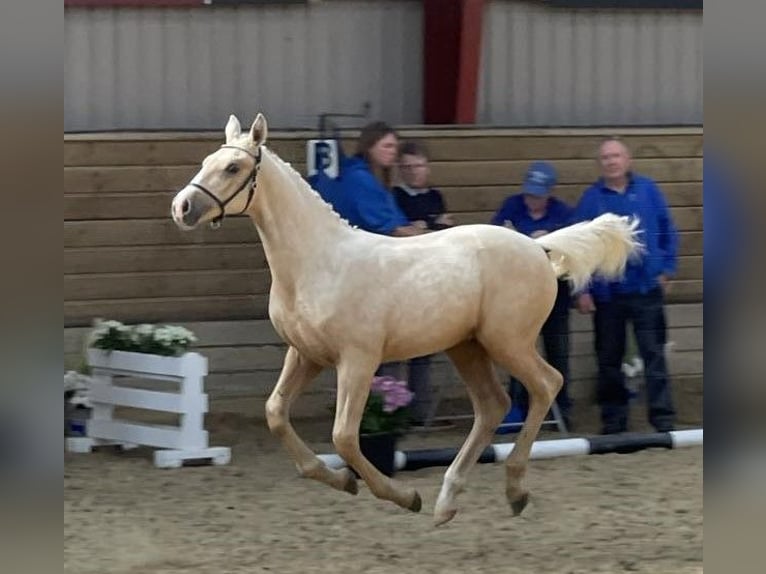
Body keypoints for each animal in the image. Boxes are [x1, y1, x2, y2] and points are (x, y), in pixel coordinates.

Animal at [171, 112, 644, 528]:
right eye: (206, 161)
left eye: (233, 167)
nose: (183, 207)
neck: (318, 263)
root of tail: (537, 246)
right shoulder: (306, 355)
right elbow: (275, 413)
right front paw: (340, 480)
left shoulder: (357, 360)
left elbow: (344, 436)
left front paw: (402, 496)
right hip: (466, 347)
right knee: (493, 405)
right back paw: (447, 502)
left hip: (507, 342)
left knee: (546, 384)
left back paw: (512, 490)